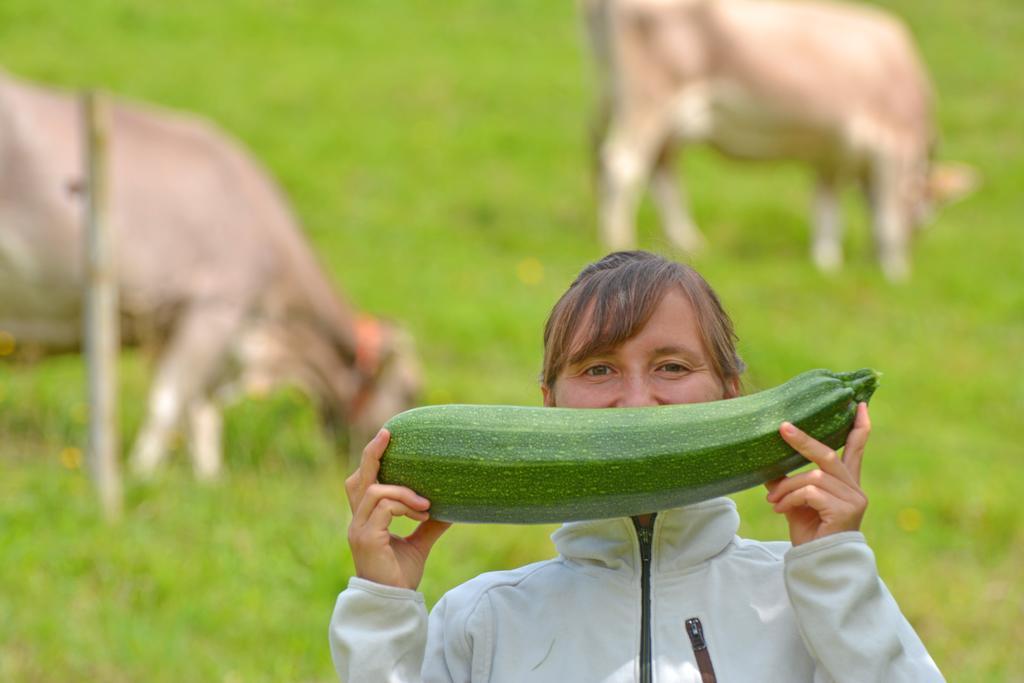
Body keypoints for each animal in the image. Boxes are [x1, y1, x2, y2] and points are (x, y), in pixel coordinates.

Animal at [0, 68, 419, 475]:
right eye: (412, 390)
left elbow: (200, 411)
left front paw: (207, 477)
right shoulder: (212, 308)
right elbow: (168, 404)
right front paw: (141, 471)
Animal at [585, 0, 974, 280]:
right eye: (924, 216)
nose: (872, 260)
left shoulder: (830, 154)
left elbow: (826, 206)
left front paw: (826, 262)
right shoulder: (893, 148)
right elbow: (886, 218)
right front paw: (895, 273)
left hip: (620, 100)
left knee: (646, 163)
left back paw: (683, 239)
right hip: (649, 99)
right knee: (622, 163)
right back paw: (618, 238)